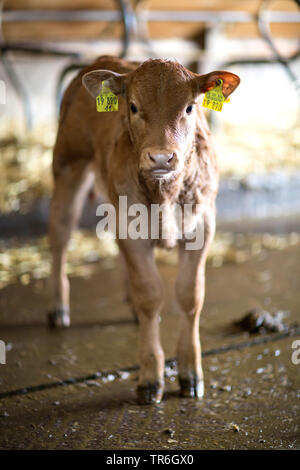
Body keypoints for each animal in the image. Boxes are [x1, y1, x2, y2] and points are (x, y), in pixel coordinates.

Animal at [48, 56, 239, 404]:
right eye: (133, 106)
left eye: (190, 107)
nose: (161, 156)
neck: (165, 193)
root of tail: (101, 61)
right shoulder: (130, 228)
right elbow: (150, 294)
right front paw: (151, 377)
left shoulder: (203, 226)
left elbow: (190, 296)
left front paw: (191, 373)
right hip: (68, 164)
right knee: (60, 236)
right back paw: (58, 307)